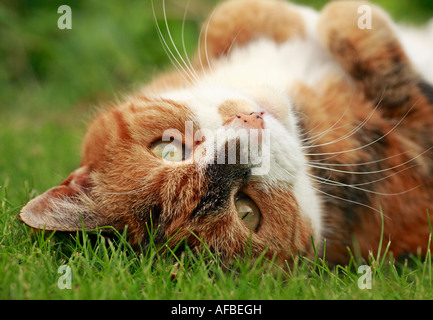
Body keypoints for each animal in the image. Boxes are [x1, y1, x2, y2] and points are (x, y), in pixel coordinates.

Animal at [20, 0, 433, 264]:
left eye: (168, 150)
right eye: (247, 211)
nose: (250, 125)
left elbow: (227, 15)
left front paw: (290, 19)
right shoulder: (411, 147)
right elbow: (354, 36)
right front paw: (352, 16)